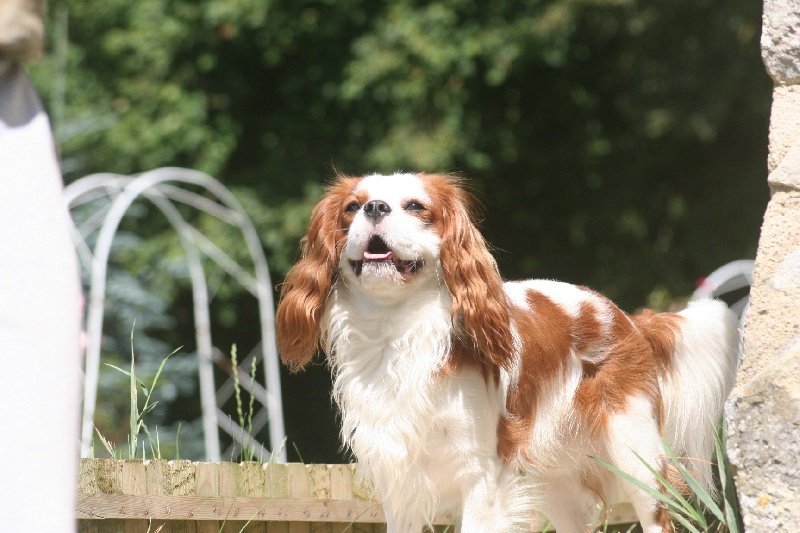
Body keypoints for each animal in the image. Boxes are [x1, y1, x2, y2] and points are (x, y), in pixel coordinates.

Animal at [276, 172, 736, 528]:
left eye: (415, 206)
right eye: (352, 207)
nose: (374, 208)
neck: (397, 330)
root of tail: (628, 317)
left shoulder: (483, 476)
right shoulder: (398, 479)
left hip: (636, 455)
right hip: (557, 481)